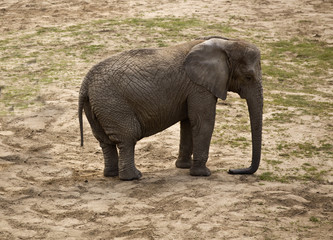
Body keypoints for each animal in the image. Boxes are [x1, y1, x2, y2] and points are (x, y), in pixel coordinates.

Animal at [78, 36, 262, 180]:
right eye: (248, 77)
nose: (232, 170)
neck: (226, 44)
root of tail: (85, 83)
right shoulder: (199, 86)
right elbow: (203, 121)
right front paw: (203, 174)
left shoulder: (192, 89)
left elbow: (188, 122)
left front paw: (183, 167)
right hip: (113, 104)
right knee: (127, 137)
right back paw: (133, 177)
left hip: (98, 106)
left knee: (105, 141)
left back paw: (111, 175)